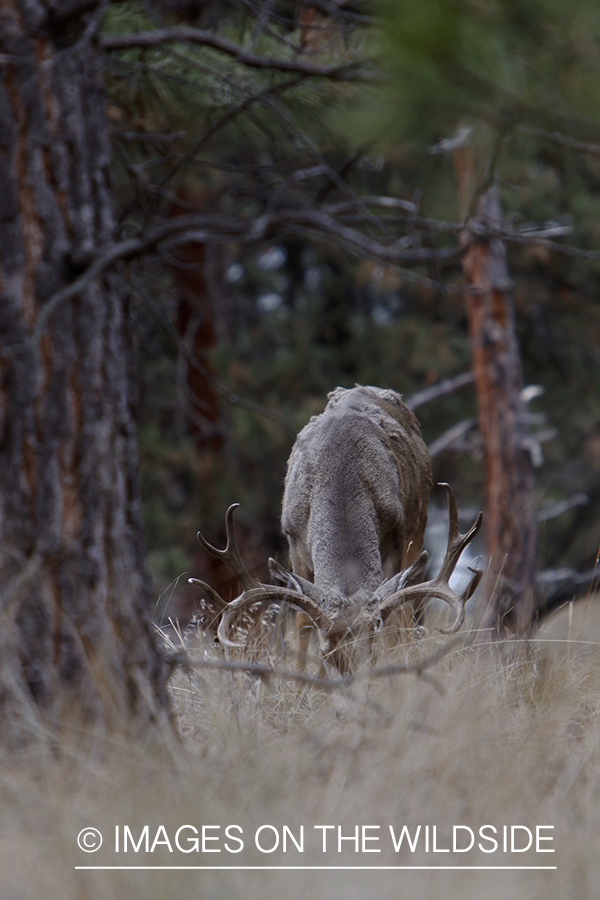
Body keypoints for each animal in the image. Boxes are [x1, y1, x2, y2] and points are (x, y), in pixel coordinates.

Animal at [192, 385, 482, 674]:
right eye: (326, 654)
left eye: (370, 652)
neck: (341, 478)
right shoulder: (294, 540)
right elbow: (302, 621)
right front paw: (302, 681)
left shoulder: (397, 538)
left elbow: (392, 619)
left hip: (419, 527)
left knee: (406, 611)